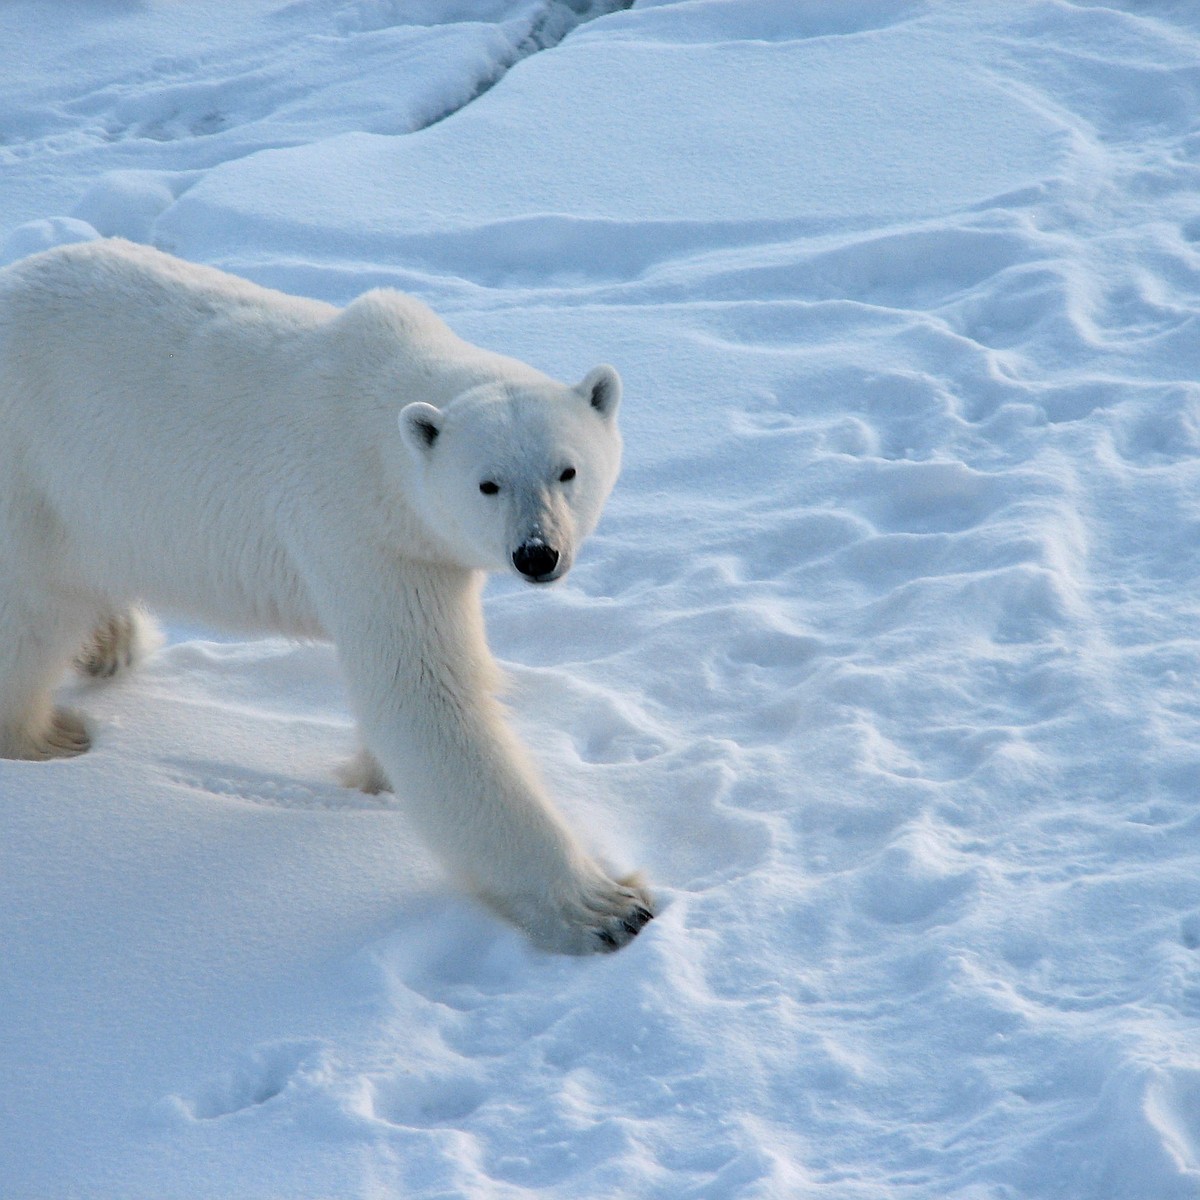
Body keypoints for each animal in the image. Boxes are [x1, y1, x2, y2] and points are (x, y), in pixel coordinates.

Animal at [0, 238, 652, 955]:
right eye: (488, 483)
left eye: (567, 470)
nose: (537, 554)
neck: (383, 434)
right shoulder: (363, 535)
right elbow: (425, 699)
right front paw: (608, 908)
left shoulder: (419, 548)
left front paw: (374, 781)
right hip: (31, 471)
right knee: (30, 617)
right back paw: (48, 738)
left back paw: (112, 643)